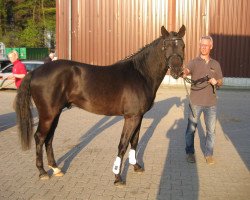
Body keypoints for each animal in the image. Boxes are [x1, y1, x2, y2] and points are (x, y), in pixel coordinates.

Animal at [14, 25, 185, 186]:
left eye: (182, 46)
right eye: (166, 46)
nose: (177, 71)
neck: (140, 74)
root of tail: (35, 71)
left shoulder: (139, 116)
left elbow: (134, 141)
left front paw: (136, 167)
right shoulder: (131, 117)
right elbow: (123, 145)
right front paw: (117, 177)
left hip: (56, 113)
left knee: (49, 138)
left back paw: (55, 168)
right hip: (47, 114)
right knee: (40, 137)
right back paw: (42, 171)